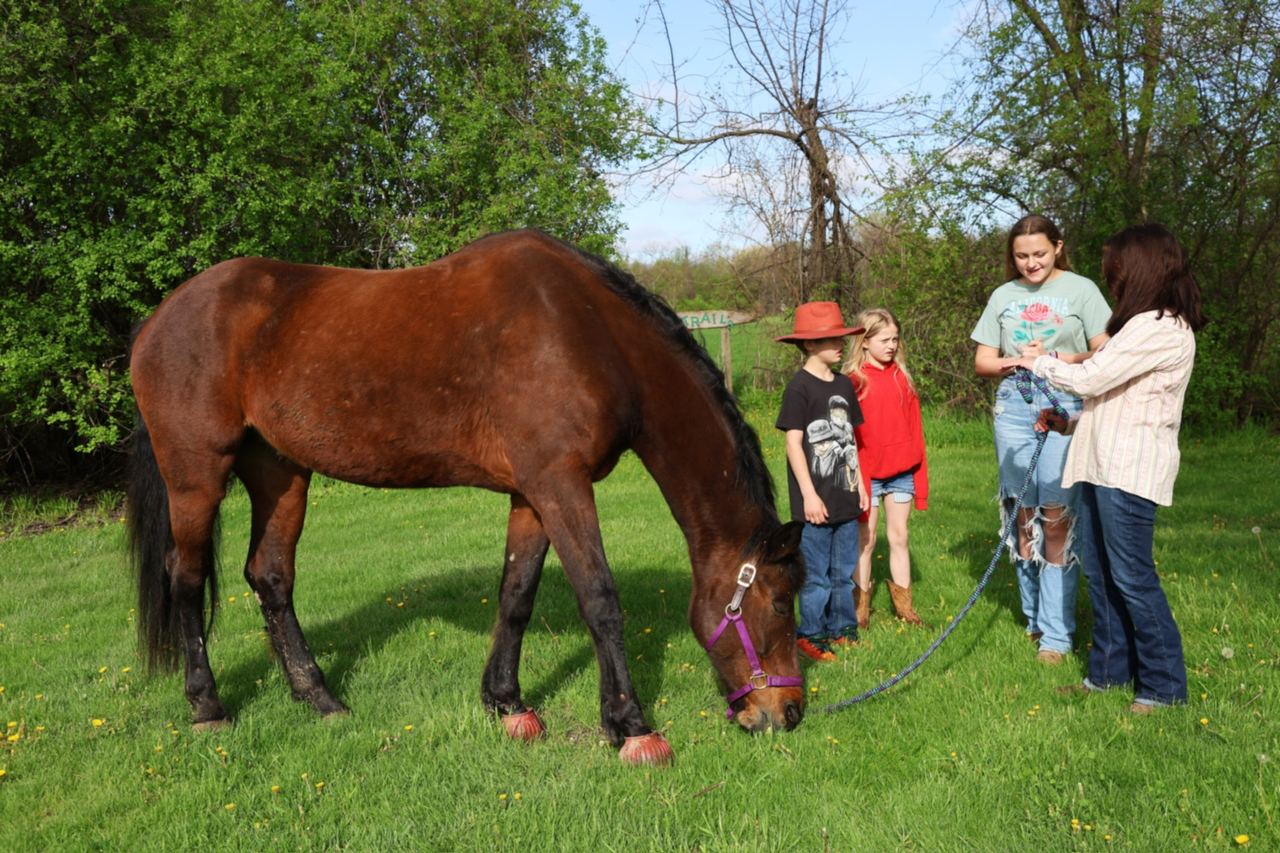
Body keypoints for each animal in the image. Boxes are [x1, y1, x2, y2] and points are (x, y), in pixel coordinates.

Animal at [127, 229, 806, 765]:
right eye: (778, 601)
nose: (789, 713)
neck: (586, 332)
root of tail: (157, 320)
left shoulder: (533, 492)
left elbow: (516, 594)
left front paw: (507, 704)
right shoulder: (561, 484)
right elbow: (600, 600)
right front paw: (631, 726)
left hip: (279, 472)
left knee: (270, 576)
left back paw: (320, 698)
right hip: (196, 475)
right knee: (186, 578)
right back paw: (208, 706)